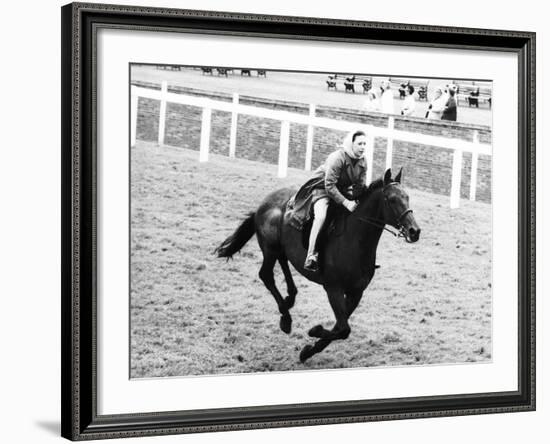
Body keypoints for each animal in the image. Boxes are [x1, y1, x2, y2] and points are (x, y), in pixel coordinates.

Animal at [216, 168, 422, 362]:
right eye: (392, 199)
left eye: (407, 197)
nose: (414, 231)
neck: (355, 240)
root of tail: (264, 203)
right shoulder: (333, 289)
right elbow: (343, 329)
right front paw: (314, 332)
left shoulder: (356, 293)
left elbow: (341, 327)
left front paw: (309, 350)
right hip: (270, 248)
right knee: (266, 275)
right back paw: (286, 317)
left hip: (280, 249)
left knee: (283, 263)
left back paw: (290, 299)